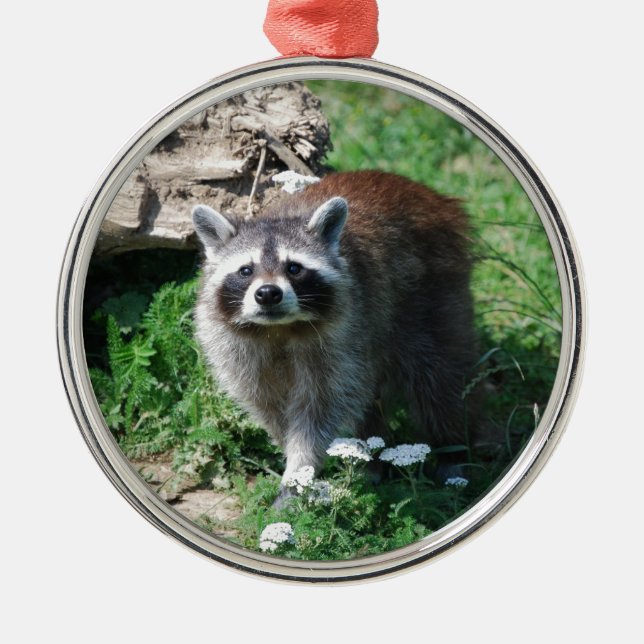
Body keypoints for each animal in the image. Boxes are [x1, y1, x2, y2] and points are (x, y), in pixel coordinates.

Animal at [192, 170, 476, 499]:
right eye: (246, 271)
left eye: (294, 268)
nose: (268, 294)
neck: (280, 328)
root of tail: (427, 193)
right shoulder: (235, 345)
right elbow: (269, 403)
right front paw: (291, 453)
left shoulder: (344, 332)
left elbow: (322, 405)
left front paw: (300, 468)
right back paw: (372, 457)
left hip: (434, 295)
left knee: (439, 381)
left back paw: (452, 450)